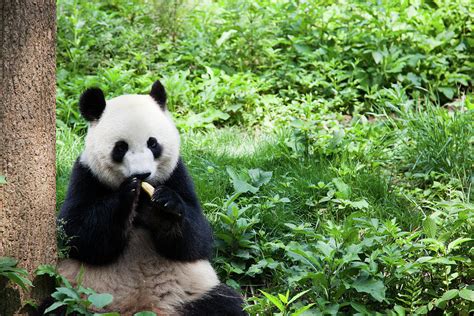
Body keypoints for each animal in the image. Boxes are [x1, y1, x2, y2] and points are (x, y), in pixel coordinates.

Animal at [51, 80, 244, 314]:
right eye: (121, 147)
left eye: (152, 143)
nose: (142, 174)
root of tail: (145, 308)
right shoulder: (85, 176)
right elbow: (78, 234)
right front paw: (127, 195)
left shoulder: (177, 174)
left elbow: (198, 239)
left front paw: (166, 206)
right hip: (75, 295)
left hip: (191, 292)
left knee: (225, 303)